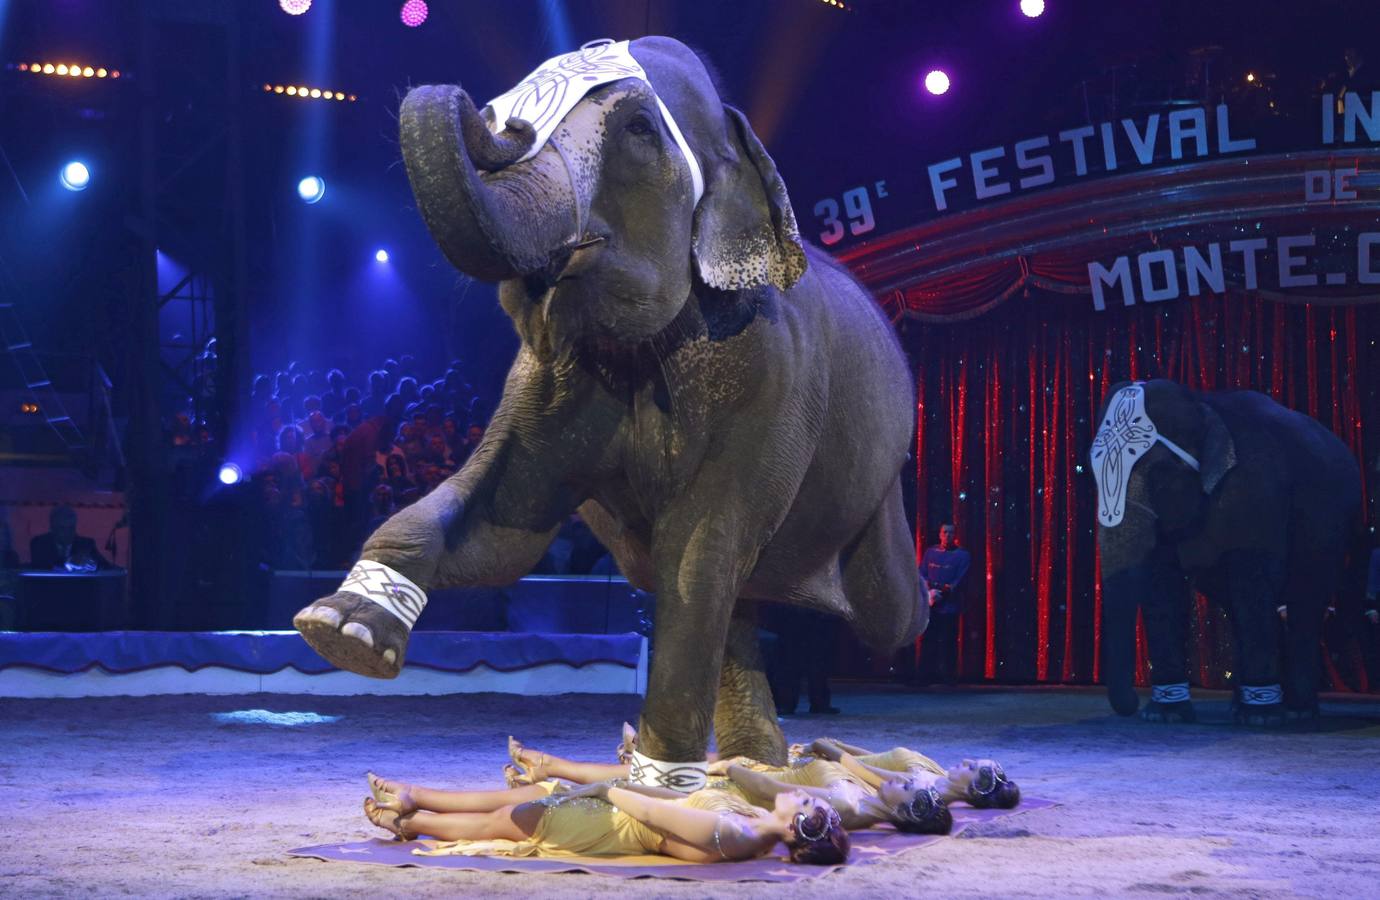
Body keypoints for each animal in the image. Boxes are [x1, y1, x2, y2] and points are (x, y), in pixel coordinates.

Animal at [288, 36, 927, 778]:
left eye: (638, 130)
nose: (497, 117)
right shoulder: (547, 380)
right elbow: (505, 532)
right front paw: (343, 630)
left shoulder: (771, 380)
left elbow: (700, 548)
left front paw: (654, 790)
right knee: (738, 606)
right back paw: (761, 767)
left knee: (887, 610)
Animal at [1092, 378, 1363, 723]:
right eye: (1091, 472)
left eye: (1160, 473)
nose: (1131, 708)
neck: (1203, 404)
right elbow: (1163, 585)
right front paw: (1165, 715)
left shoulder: (1257, 486)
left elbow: (1253, 578)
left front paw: (1261, 718)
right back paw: (1245, 706)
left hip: (1331, 527)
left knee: (1305, 600)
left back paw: (1295, 712)